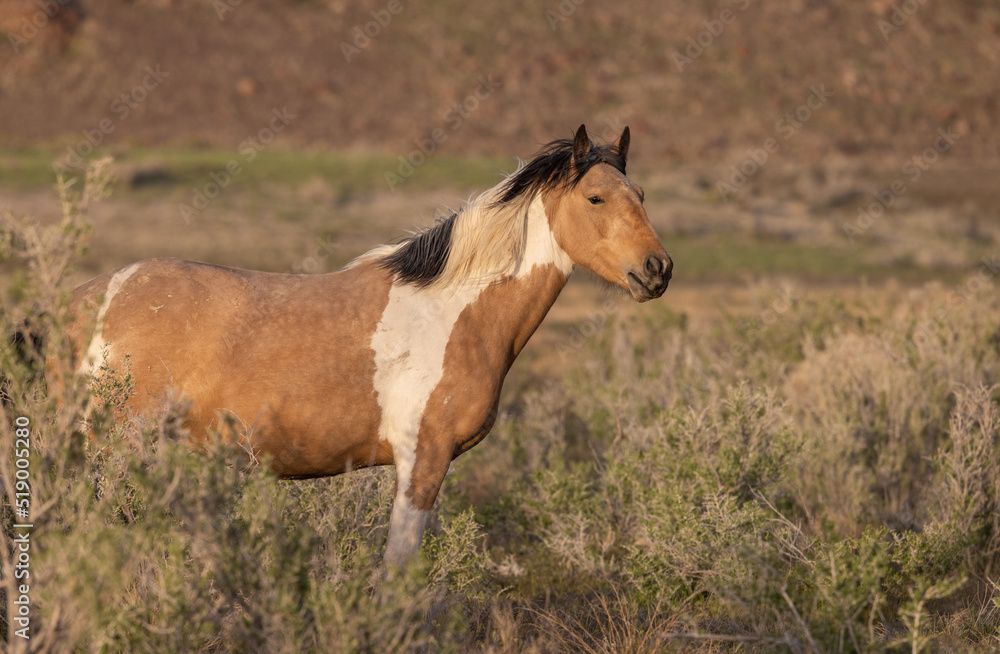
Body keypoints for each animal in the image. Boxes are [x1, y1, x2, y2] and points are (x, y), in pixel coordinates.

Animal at [66, 124, 672, 565]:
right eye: (595, 198)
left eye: (641, 195)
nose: (657, 269)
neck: (454, 310)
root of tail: (88, 298)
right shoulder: (422, 462)